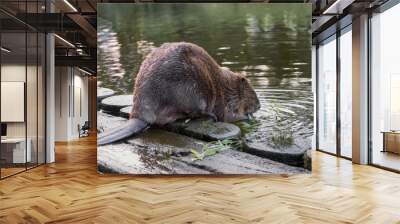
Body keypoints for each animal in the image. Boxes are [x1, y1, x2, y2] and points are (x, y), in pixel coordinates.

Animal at [98, 42, 260, 145]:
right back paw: (208, 115)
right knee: (195, 112)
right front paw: (248, 117)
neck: (226, 85)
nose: (259, 106)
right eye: (252, 93)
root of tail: (140, 116)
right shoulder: (227, 100)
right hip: (192, 90)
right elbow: (229, 115)